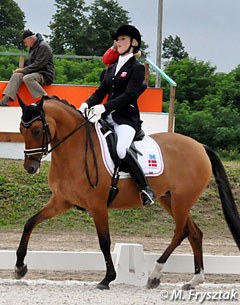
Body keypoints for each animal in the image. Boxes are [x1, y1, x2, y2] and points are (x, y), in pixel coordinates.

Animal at [15, 95, 240, 290]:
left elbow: (104, 241)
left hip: (181, 201)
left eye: (36, 130)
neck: (76, 150)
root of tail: (199, 146)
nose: (30, 167)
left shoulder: (97, 205)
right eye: (20, 130)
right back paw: (194, 280)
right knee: (194, 233)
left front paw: (107, 279)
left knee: (181, 232)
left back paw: (155, 275)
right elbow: (29, 223)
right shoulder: (61, 201)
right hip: (170, 199)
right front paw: (20, 267)